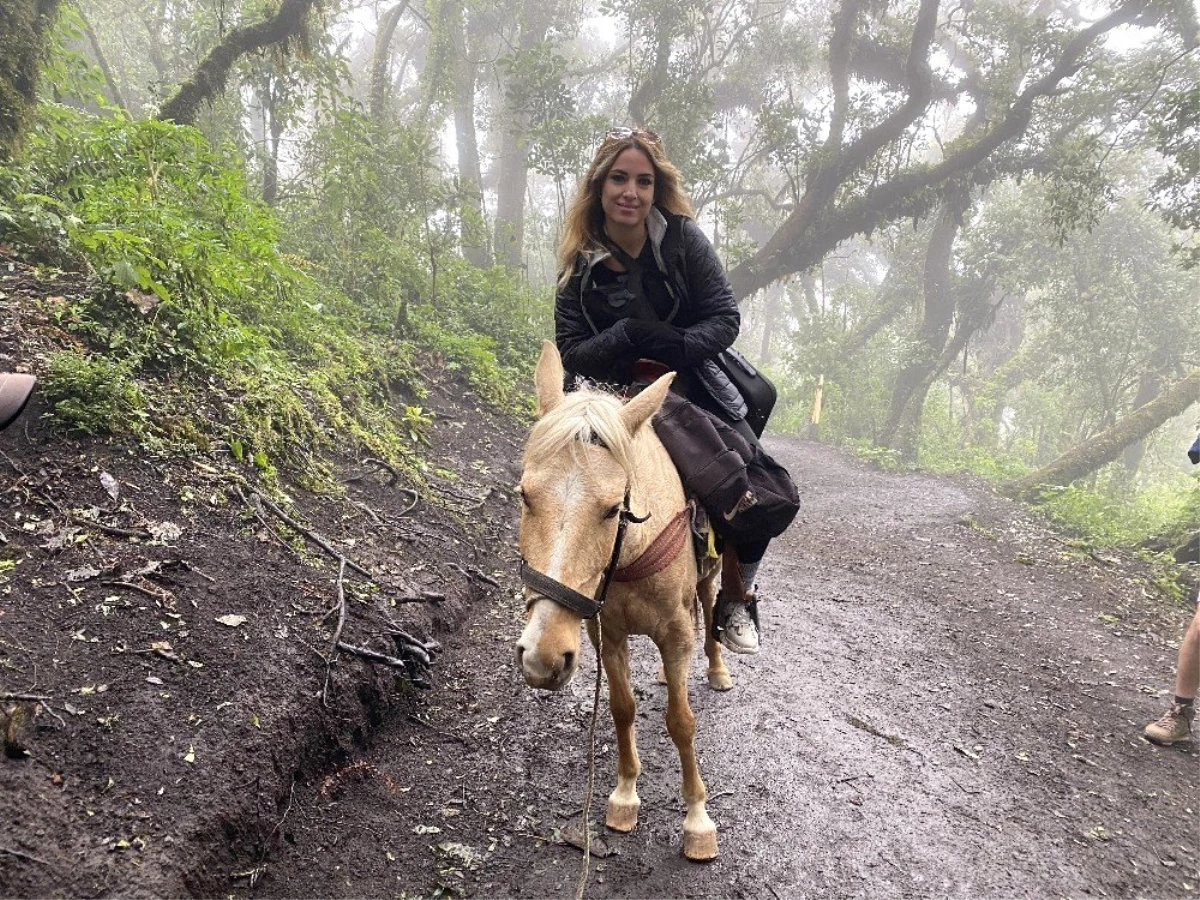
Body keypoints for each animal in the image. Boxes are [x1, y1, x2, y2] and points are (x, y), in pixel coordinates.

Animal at [511, 340, 724, 864]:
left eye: (612, 509)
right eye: (524, 495)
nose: (543, 658)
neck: (633, 551)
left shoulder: (675, 634)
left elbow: (681, 722)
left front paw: (697, 819)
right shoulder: (605, 631)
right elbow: (622, 707)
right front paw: (625, 794)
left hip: (709, 583)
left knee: (710, 608)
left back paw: (718, 667)